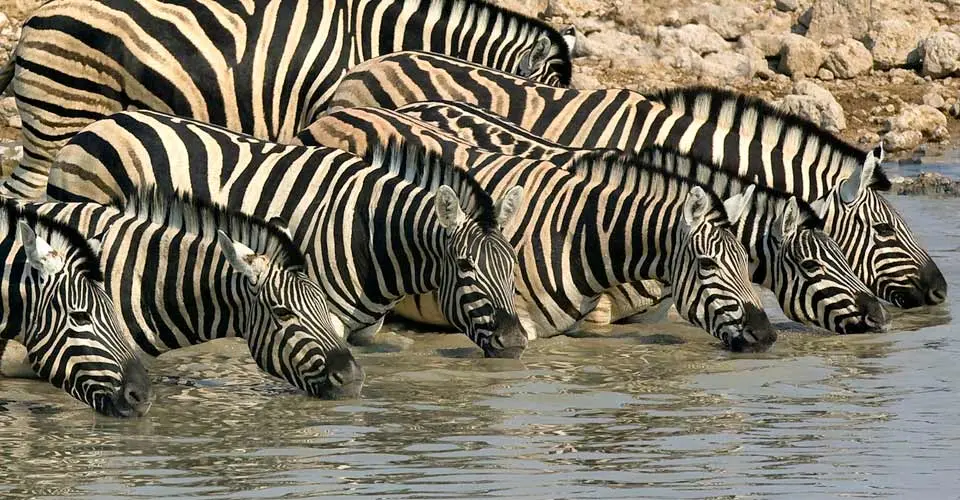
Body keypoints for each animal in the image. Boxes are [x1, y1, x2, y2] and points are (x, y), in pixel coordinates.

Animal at [46, 111, 528, 359]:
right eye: (465, 266)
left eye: (512, 266)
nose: (515, 343)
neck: (369, 234)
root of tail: (101, 123)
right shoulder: (318, 313)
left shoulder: (364, 331)